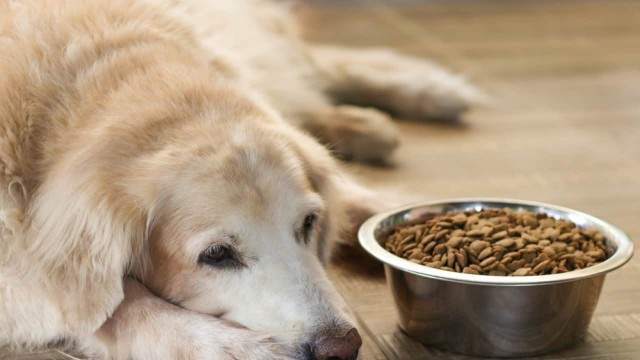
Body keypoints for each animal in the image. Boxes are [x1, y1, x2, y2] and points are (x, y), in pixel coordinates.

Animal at [1, 0, 480, 360]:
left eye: (308, 224)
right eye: (216, 255)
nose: (341, 348)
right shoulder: (22, 271)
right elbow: (113, 306)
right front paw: (229, 347)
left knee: (308, 66)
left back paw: (420, 93)